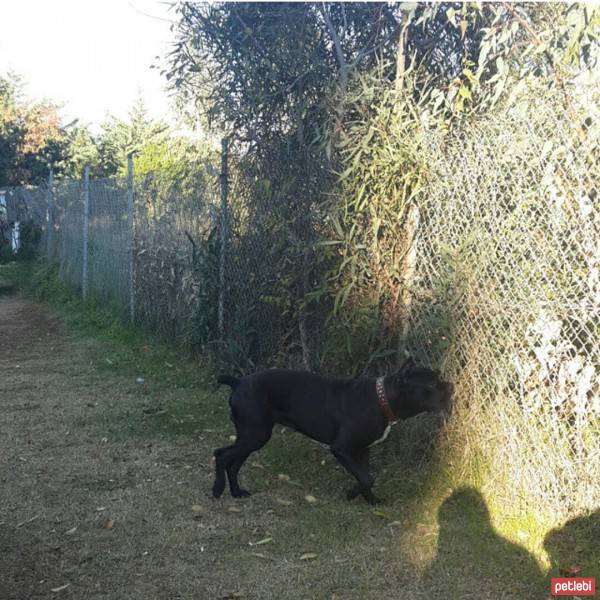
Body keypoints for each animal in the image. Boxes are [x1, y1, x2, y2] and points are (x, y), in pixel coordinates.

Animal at [213, 358, 452, 504]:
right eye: (433, 384)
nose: (451, 386)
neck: (382, 399)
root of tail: (239, 381)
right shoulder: (342, 449)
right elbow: (367, 478)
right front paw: (352, 494)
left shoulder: (363, 450)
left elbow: (366, 477)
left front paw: (371, 501)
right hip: (255, 434)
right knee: (221, 455)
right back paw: (217, 490)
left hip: (252, 437)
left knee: (233, 463)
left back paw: (236, 492)